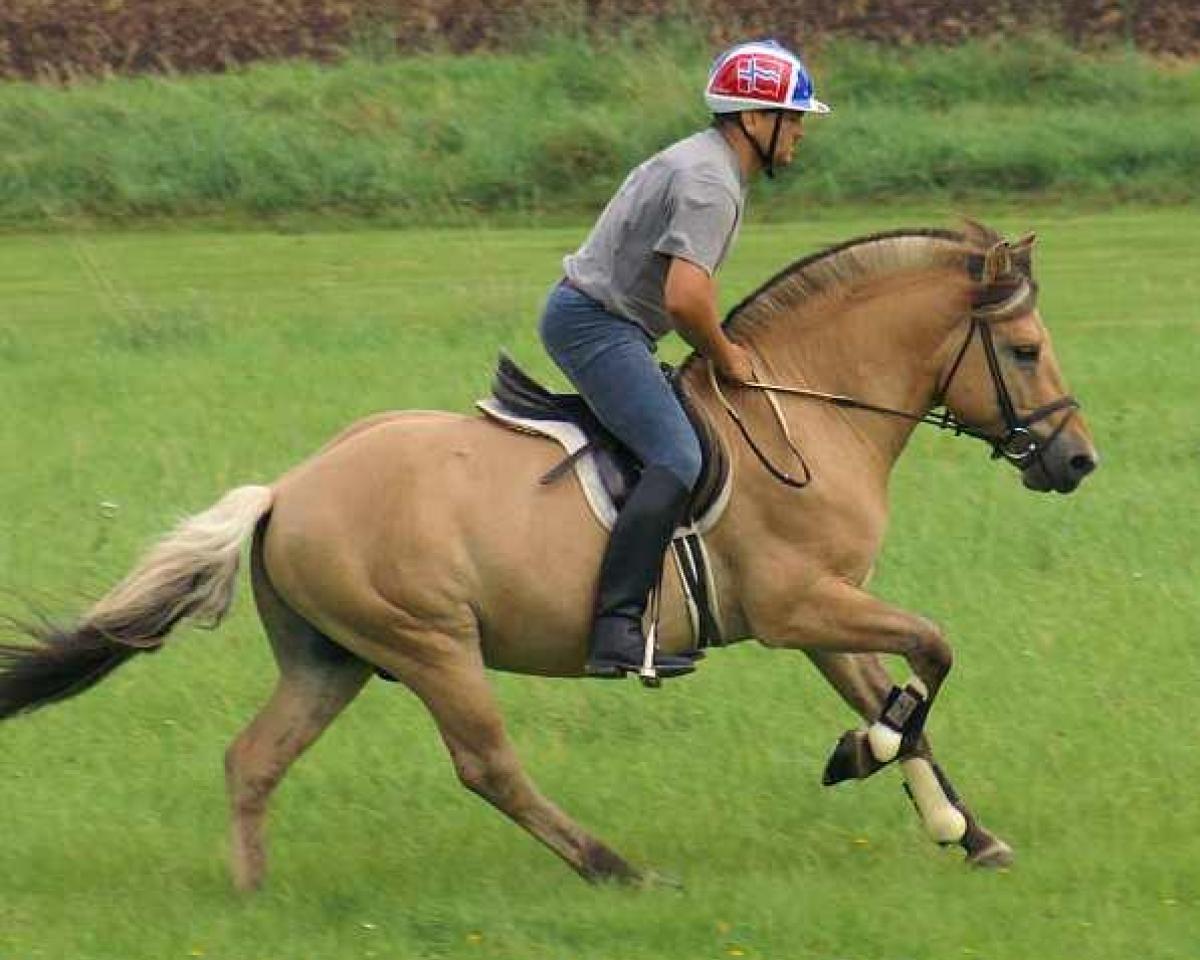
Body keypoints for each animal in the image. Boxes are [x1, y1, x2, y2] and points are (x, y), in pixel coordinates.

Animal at [0, 221, 1098, 891]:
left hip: (333, 658)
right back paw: (618, 868)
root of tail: (286, 490)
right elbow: (932, 656)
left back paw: (251, 897)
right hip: (431, 644)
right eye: (1028, 351)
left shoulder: (826, 613)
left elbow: (899, 702)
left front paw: (966, 831)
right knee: (489, 766)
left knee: (253, 760)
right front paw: (869, 768)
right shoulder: (801, 608)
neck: (810, 412)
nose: (1077, 459)